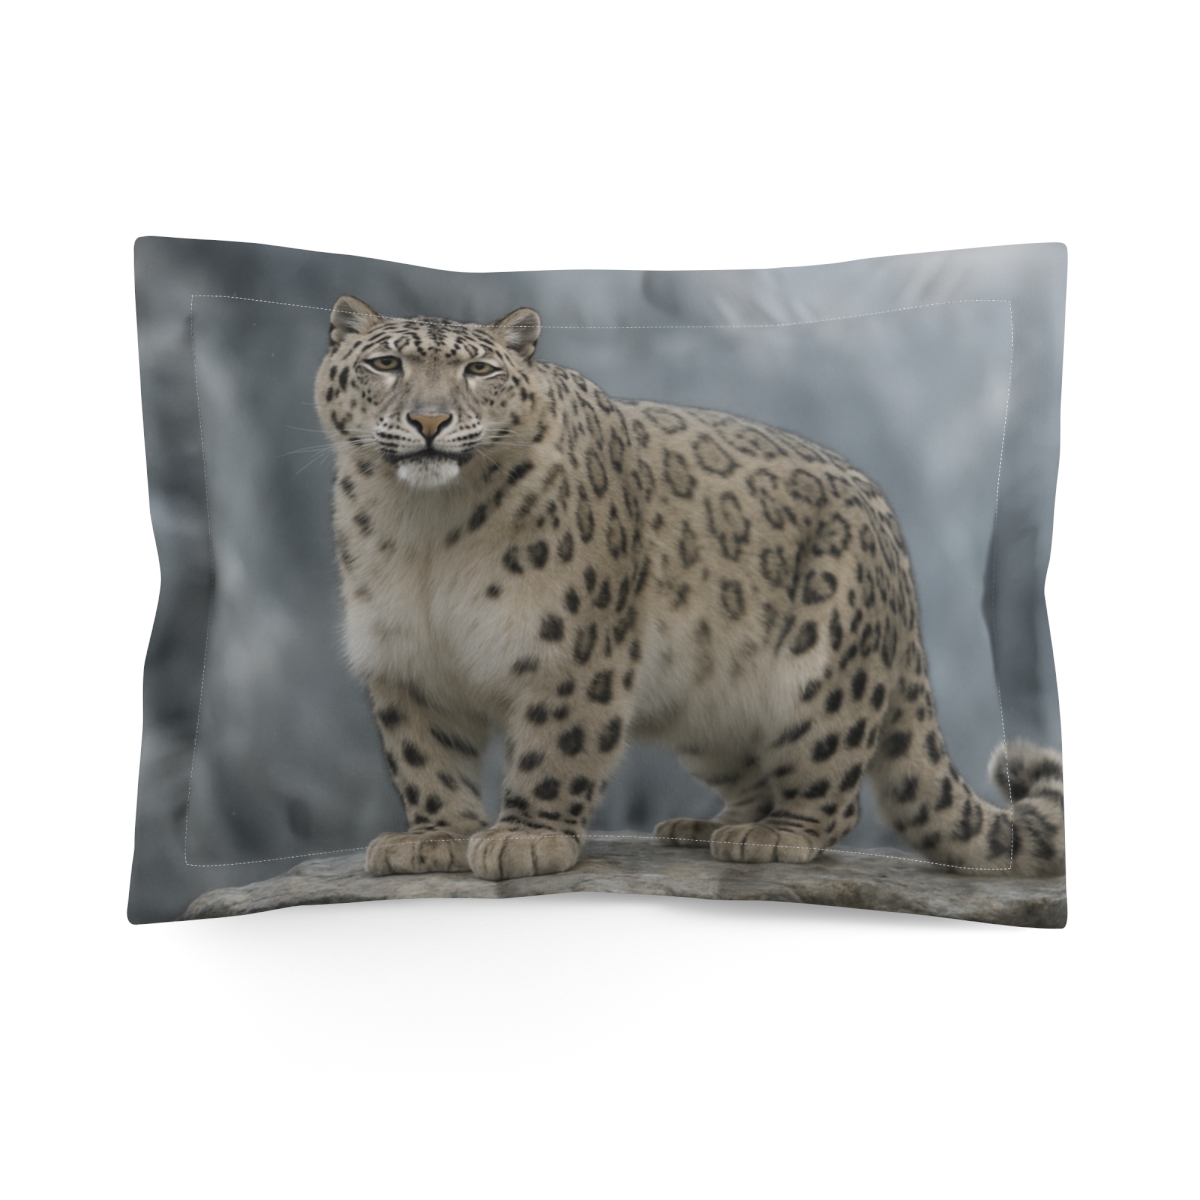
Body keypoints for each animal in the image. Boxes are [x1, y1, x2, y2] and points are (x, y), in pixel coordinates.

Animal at [314, 296, 1065, 883]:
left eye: (479, 370)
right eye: (386, 365)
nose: (430, 421)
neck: (426, 531)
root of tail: (895, 548)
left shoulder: (573, 648)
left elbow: (556, 746)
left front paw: (527, 837)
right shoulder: (405, 657)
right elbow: (425, 758)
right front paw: (433, 838)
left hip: (823, 674)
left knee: (831, 787)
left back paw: (772, 835)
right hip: (710, 710)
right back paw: (704, 827)